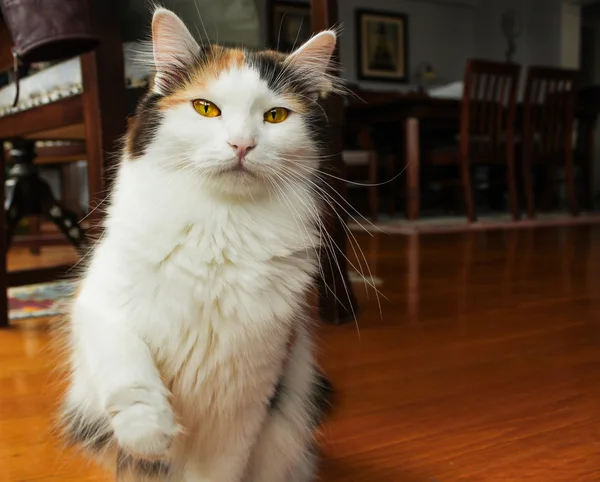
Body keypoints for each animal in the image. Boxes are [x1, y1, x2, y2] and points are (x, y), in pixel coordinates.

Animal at [61, 6, 342, 482]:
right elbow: (128, 366)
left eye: (275, 117)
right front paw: (151, 433)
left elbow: (218, 468)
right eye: (206, 108)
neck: (220, 229)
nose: (241, 144)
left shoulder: (246, 398)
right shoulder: (97, 302)